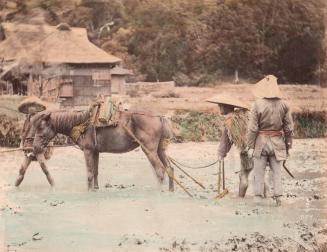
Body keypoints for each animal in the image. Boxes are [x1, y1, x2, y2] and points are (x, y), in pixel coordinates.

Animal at [31, 110, 174, 191]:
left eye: (41, 128)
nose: (35, 147)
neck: (81, 125)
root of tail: (159, 117)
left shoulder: (88, 151)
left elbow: (89, 173)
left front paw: (89, 191)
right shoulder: (95, 152)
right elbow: (95, 172)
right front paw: (95, 189)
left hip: (149, 150)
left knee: (160, 170)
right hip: (160, 150)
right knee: (169, 168)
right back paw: (171, 189)